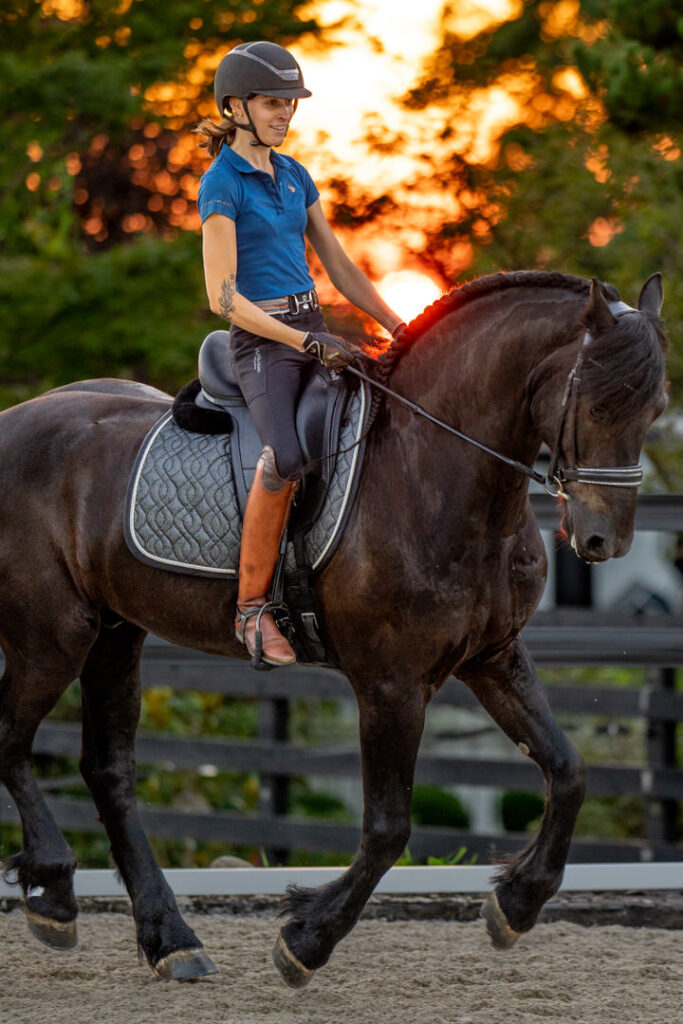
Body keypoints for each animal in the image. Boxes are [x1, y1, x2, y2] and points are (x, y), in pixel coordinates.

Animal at [0, 270, 667, 983]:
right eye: (597, 406)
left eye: (655, 410)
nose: (602, 540)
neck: (428, 468)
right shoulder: (390, 685)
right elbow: (389, 828)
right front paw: (307, 937)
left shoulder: (494, 658)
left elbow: (568, 770)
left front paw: (516, 902)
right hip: (52, 638)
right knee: (12, 740)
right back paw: (56, 886)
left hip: (115, 633)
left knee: (108, 771)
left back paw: (167, 938)